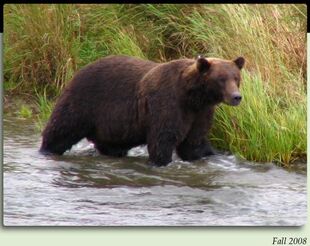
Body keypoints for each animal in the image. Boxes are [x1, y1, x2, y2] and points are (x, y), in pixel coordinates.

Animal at [40, 54, 245, 166]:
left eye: (236, 77)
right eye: (221, 79)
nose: (236, 97)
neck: (192, 96)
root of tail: (79, 70)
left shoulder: (201, 113)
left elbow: (195, 143)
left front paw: (211, 155)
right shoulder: (168, 104)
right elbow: (162, 140)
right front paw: (161, 162)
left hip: (111, 127)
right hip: (84, 101)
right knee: (61, 129)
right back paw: (47, 150)